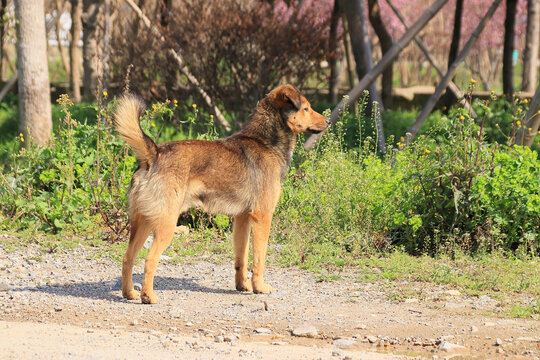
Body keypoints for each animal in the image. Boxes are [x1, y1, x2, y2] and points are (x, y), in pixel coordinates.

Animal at [113, 84, 330, 304]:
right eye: (306, 108)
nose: (329, 121)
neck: (265, 142)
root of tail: (154, 154)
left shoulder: (242, 219)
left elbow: (242, 258)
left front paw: (243, 286)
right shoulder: (263, 217)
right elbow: (259, 259)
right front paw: (259, 288)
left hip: (142, 223)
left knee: (127, 258)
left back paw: (129, 293)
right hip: (165, 225)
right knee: (149, 259)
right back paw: (148, 296)